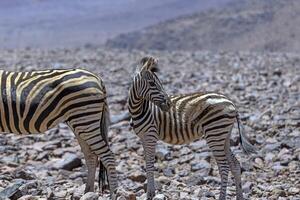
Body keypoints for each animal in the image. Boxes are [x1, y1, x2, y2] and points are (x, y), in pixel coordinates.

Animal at [0, 68, 117, 198]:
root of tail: (97, 78)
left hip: (85, 119)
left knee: (108, 156)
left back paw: (112, 195)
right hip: (80, 122)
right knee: (91, 156)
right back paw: (87, 193)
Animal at [127, 56, 256, 200]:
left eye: (158, 83)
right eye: (151, 83)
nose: (168, 104)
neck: (138, 110)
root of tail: (231, 103)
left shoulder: (150, 136)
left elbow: (149, 165)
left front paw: (150, 194)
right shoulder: (143, 138)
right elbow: (146, 164)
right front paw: (150, 193)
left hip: (214, 134)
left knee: (224, 168)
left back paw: (222, 197)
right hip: (224, 136)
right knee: (235, 165)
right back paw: (239, 196)